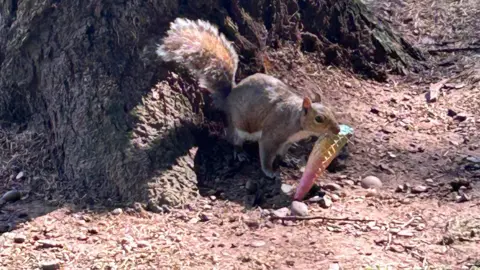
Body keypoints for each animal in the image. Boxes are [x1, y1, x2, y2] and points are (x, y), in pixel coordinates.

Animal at [156, 16, 340, 177]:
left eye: (332, 112)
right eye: (319, 119)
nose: (337, 130)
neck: (296, 121)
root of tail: (229, 98)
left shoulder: (287, 141)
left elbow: (282, 153)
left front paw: (287, 160)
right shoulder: (273, 134)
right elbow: (266, 152)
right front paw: (269, 171)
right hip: (238, 126)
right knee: (232, 139)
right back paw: (240, 152)